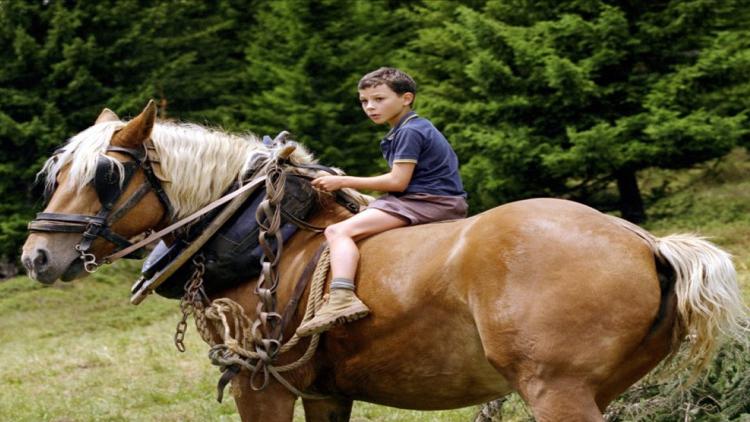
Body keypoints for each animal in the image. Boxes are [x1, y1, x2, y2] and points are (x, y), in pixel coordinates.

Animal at [20, 100, 748, 420]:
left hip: (559, 392)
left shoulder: (261, 386)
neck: (260, 242)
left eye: (106, 176)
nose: (35, 255)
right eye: (54, 175)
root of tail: (646, 242)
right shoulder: (321, 392)